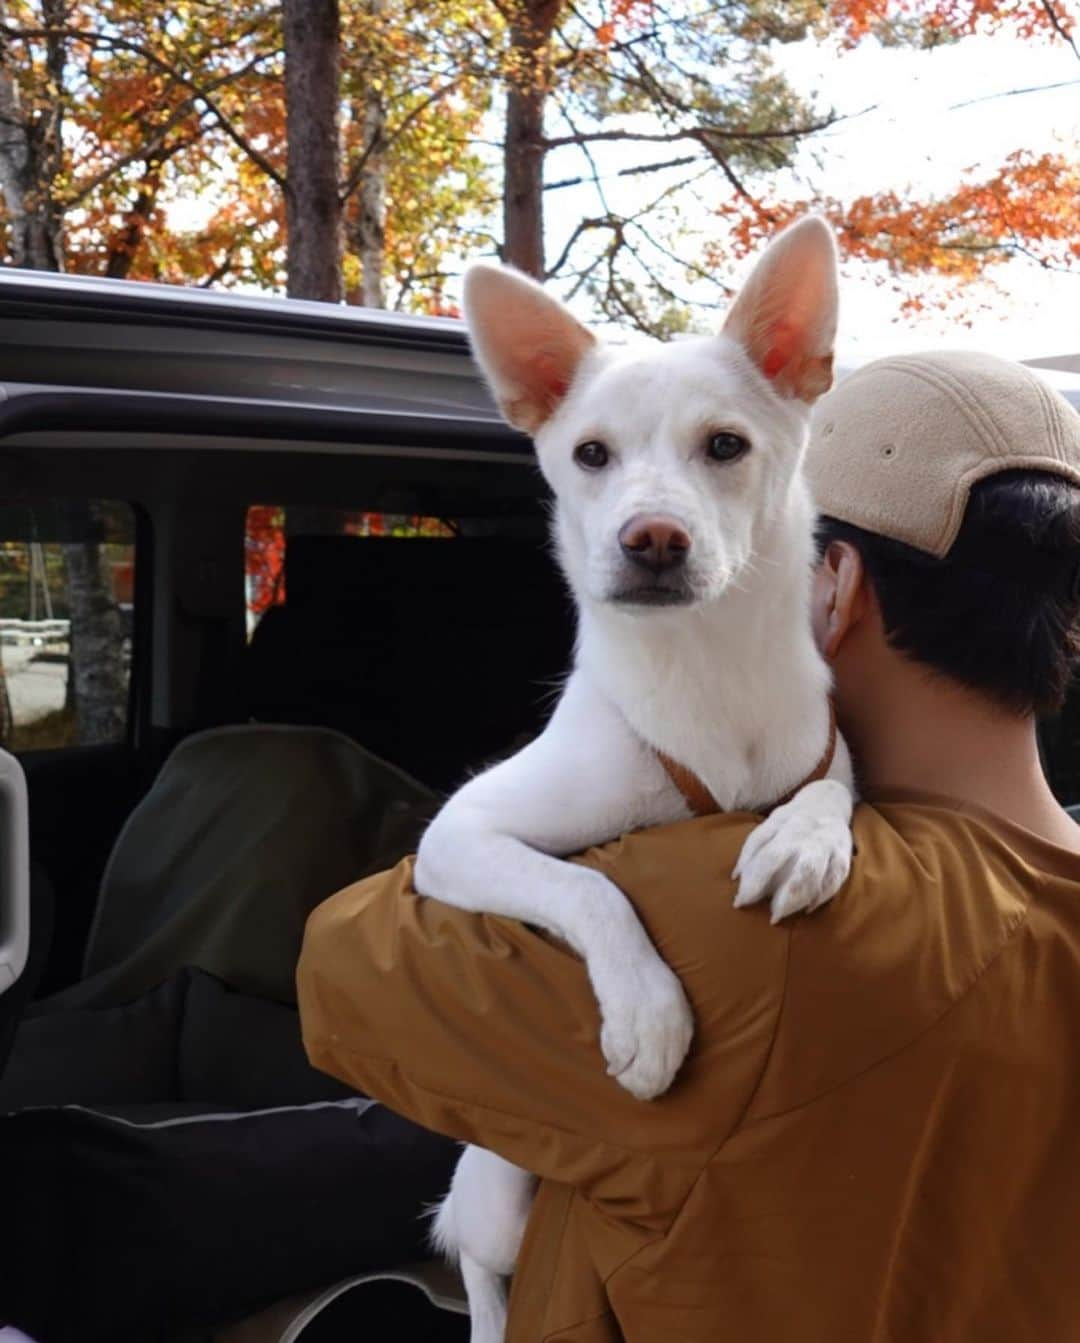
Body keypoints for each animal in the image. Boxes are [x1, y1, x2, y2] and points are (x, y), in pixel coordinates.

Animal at [416, 214, 854, 1337]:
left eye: (727, 446)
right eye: (591, 455)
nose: (651, 537)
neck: (706, 669)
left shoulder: (825, 746)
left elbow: (830, 789)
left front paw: (800, 840)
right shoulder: (458, 836)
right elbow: (589, 884)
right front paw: (650, 1014)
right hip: (497, 1193)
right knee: (479, 1264)